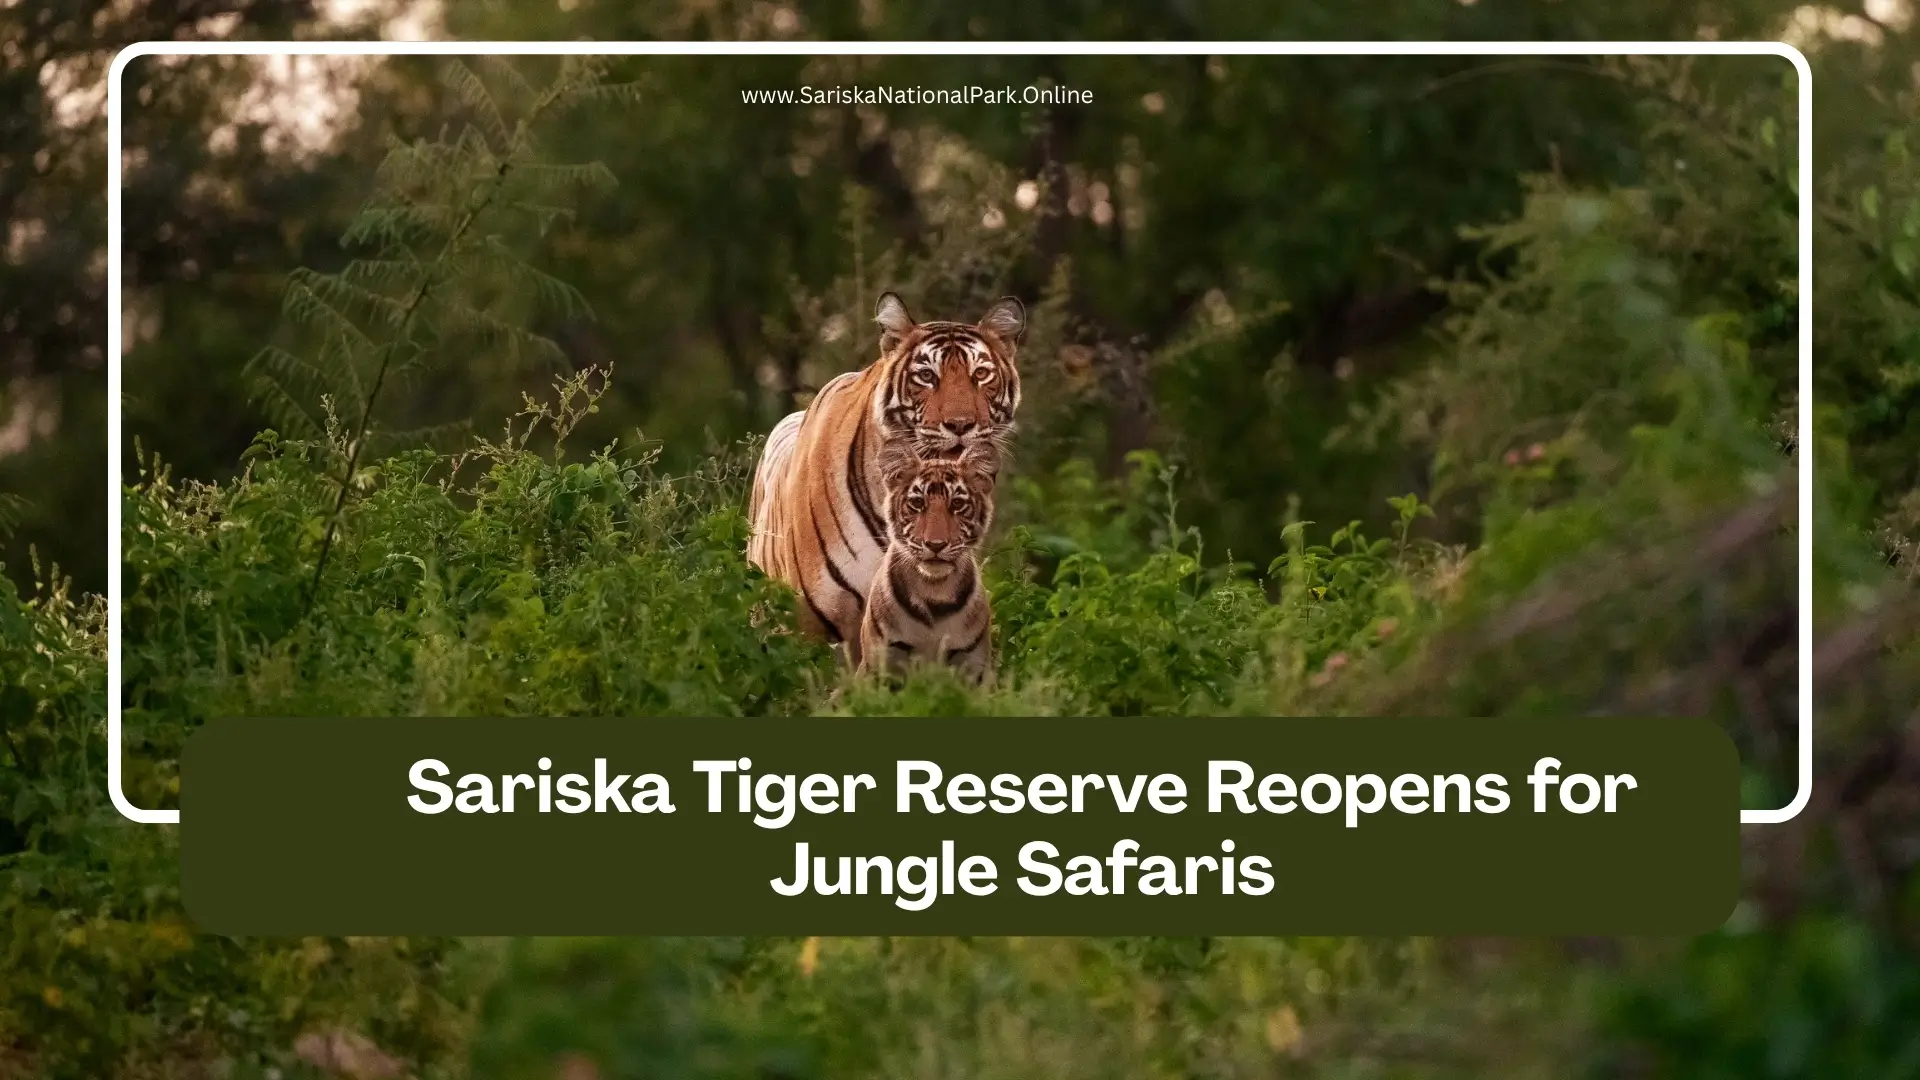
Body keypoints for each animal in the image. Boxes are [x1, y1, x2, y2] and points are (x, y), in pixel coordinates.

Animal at [857, 444, 997, 686]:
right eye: (917, 503)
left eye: (957, 504)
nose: (935, 544)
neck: (934, 590)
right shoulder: (882, 663)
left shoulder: (972, 667)